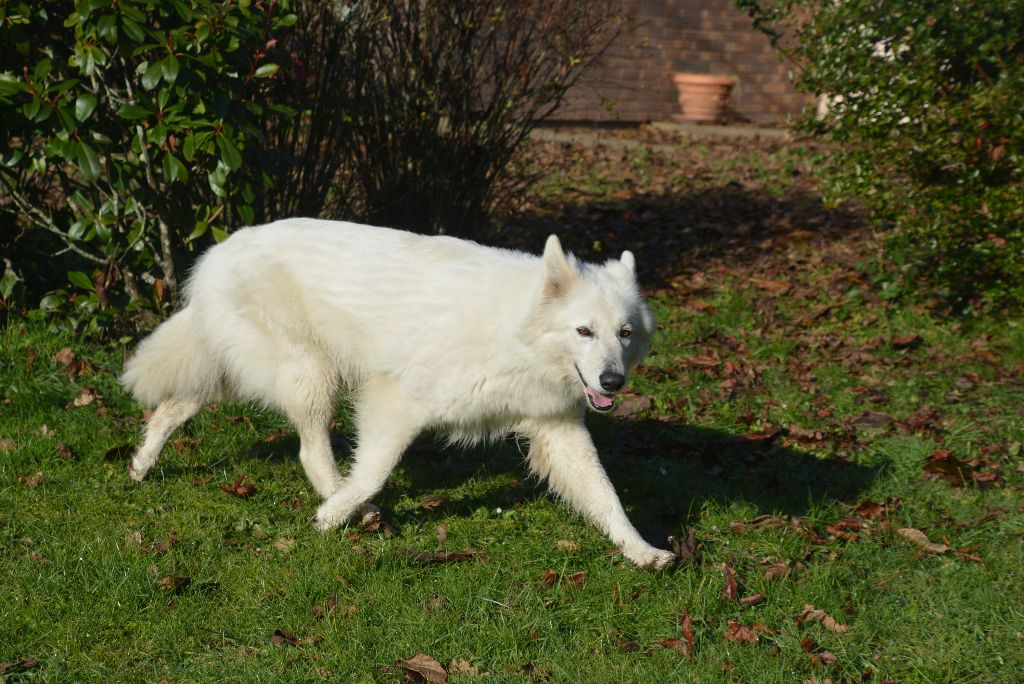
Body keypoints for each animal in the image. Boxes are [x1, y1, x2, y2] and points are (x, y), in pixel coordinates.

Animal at [119, 219, 675, 565]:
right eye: (584, 331)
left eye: (624, 333)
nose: (613, 383)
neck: (516, 331)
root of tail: (218, 251)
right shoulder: (396, 403)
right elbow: (372, 472)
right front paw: (332, 517)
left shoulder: (559, 430)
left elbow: (606, 497)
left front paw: (641, 551)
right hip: (312, 375)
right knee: (310, 451)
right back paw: (345, 506)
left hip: (240, 371)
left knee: (175, 405)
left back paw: (142, 462)